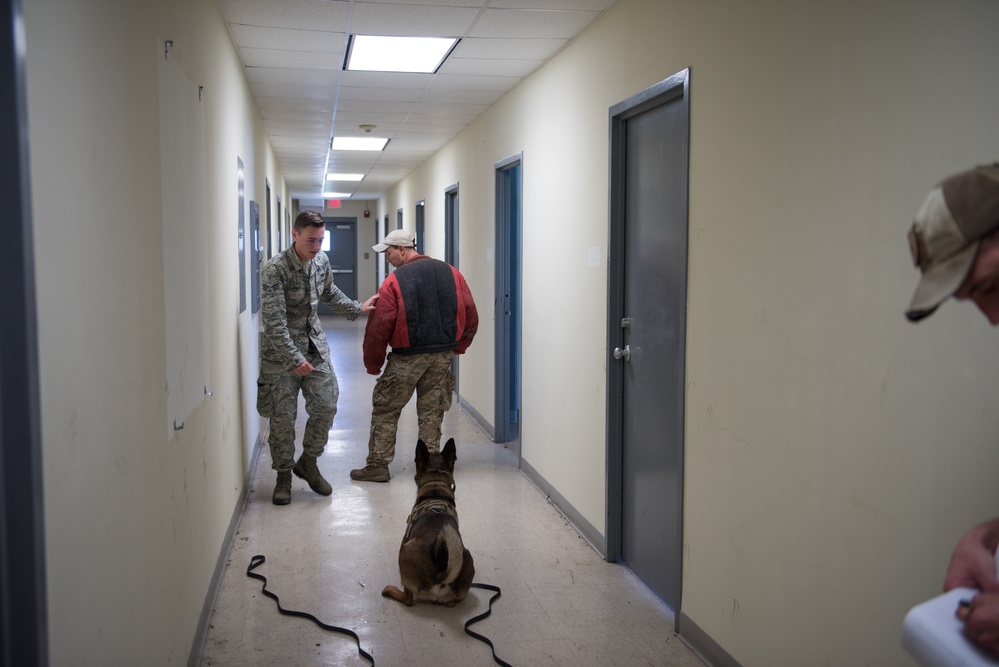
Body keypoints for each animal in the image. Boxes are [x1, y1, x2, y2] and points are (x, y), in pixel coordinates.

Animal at [382, 438, 476, 612]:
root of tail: (441, 576)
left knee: (408, 599)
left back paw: (391, 590)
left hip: (405, 552)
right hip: (466, 556)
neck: (435, 488)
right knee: (451, 603)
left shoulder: (405, 538)